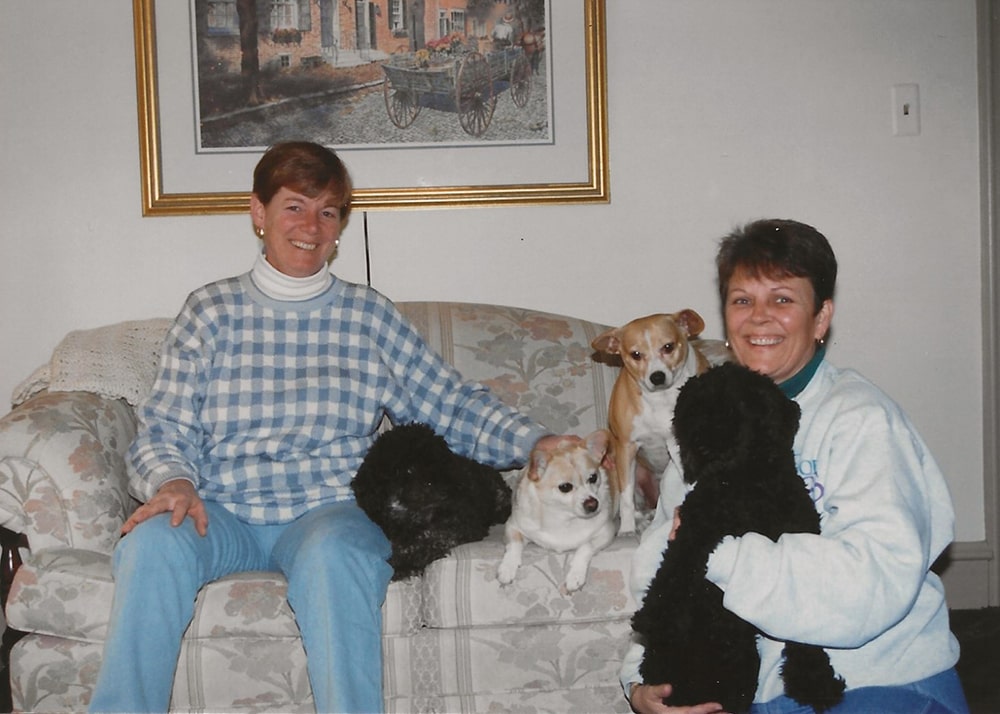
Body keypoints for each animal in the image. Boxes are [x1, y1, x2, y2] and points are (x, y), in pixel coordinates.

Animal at [352, 422, 512, 580]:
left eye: (439, 463)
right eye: (409, 469)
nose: (439, 486)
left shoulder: (463, 525)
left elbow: (429, 542)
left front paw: (404, 565)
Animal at [500, 432, 616, 592]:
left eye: (593, 478)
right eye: (565, 487)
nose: (593, 504)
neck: (563, 518)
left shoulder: (606, 533)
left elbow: (585, 546)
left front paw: (576, 574)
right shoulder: (513, 526)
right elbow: (514, 545)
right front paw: (507, 567)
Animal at [588, 308, 724, 532]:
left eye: (668, 346)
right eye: (636, 354)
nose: (657, 377)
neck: (662, 398)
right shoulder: (626, 446)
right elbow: (626, 499)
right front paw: (627, 530)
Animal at [632, 364, 844, 708]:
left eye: (737, 408)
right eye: (690, 414)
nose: (701, 448)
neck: (746, 486)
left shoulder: (799, 536)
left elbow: (802, 627)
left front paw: (814, 680)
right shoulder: (695, 525)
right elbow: (675, 570)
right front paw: (657, 616)